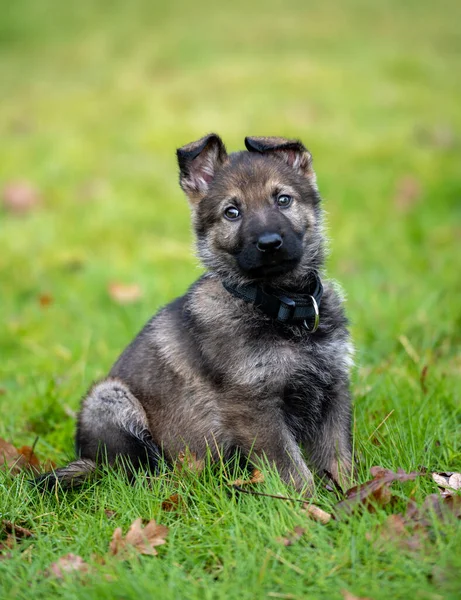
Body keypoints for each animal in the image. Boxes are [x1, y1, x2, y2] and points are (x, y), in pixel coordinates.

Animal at [40, 135, 356, 492]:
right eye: (232, 212)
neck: (278, 304)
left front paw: (352, 498)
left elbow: (338, 456)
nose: (269, 243)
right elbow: (292, 468)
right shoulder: (253, 404)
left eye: (283, 200)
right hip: (108, 399)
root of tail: (89, 459)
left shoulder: (334, 386)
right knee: (139, 473)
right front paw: (309, 503)